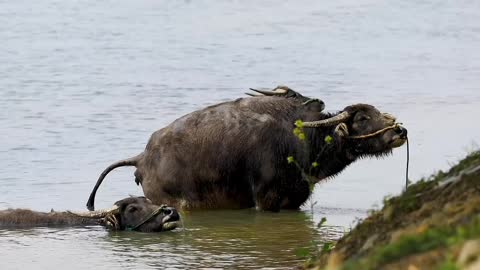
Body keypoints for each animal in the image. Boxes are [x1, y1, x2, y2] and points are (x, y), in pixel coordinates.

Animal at [85, 87, 404, 212]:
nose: (400, 131)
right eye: (362, 119)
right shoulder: (266, 200)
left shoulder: (294, 200)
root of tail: (142, 158)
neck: (303, 139)